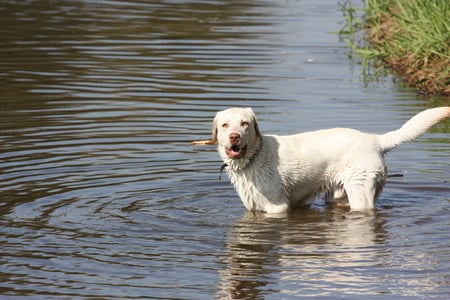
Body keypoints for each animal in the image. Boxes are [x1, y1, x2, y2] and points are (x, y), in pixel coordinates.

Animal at [212, 106, 450, 213]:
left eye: (245, 124)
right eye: (225, 125)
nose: (234, 136)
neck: (254, 157)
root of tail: (376, 139)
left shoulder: (277, 207)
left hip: (360, 192)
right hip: (338, 196)